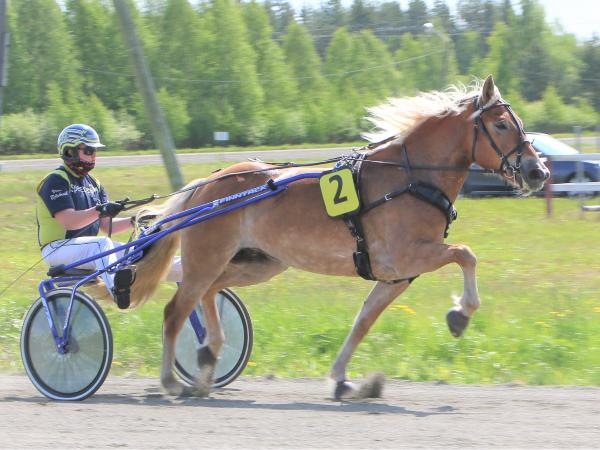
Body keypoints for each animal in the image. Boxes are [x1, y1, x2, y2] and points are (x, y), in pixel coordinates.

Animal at [130, 75, 550, 399]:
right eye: (501, 125)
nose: (538, 171)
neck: (409, 177)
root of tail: (205, 184)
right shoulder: (406, 256)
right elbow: (465, 253)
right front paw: (461, 313)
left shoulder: (395, 275)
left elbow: (363, 322)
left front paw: (343, 380)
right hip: (209, 256)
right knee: (176, 310)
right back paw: (171, 380)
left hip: (258, 263)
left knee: (211, 290)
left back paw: (207, 360)